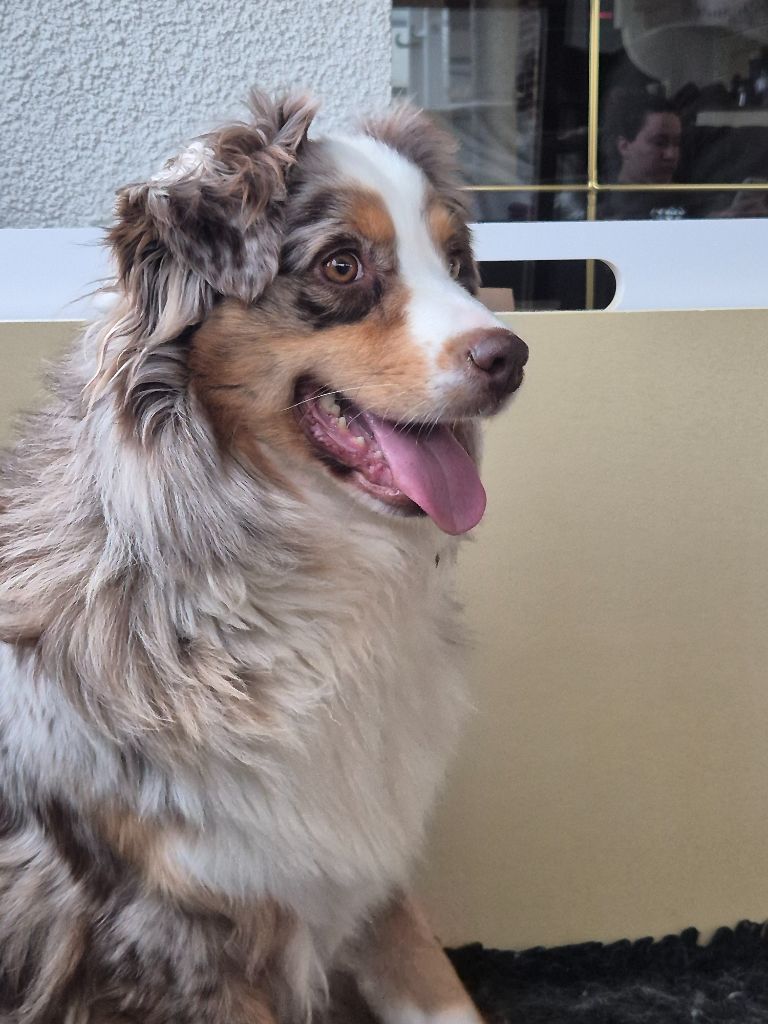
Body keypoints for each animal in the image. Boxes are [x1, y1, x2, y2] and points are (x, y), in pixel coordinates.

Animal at [0, 92, 527, 1023]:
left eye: (458, 260)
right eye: (343, 265)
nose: (512, 358)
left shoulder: (362, 855)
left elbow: (440, 988)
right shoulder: (175, 938)